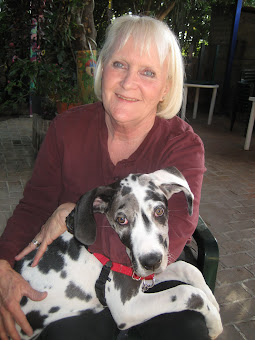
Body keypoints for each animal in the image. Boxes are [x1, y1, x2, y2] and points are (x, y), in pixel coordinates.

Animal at [14, 168, 222, 340]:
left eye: (159, 211)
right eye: (121, 219)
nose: (151, 262)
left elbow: (189, 268)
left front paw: (213, 301)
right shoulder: (127, 308)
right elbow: (188, 292)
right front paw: (215, 323)